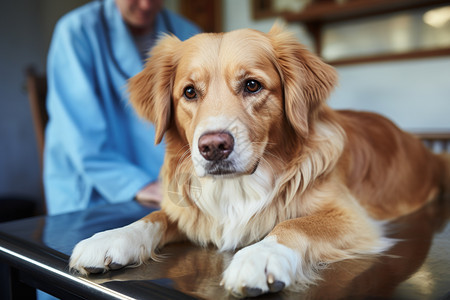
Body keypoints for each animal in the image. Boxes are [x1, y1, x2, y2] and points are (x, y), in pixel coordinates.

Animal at [68, 26, 448, 298]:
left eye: (252, 85)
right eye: (189, 92)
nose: (213, 147)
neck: (238, 185)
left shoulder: (353, 218)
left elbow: (294, 224)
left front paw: (260, 256)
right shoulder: (190, 212)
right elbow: (154, 217)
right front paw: (110, 238)